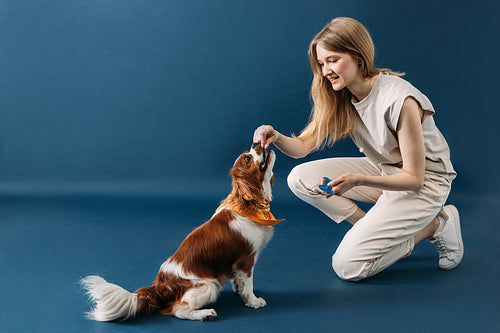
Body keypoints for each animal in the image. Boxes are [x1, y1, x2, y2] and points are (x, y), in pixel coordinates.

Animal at [83, 143, 286, 320]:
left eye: (250, 152)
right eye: (247, 158)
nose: (257, 144)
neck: (249, 207)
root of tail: (160, 287)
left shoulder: (237, 265)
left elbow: (239, 282)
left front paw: (239, 292)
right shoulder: (246, 260)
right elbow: (248, 283)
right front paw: (253, 301)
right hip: (209, 285)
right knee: (178, 310)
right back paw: (206, 314)